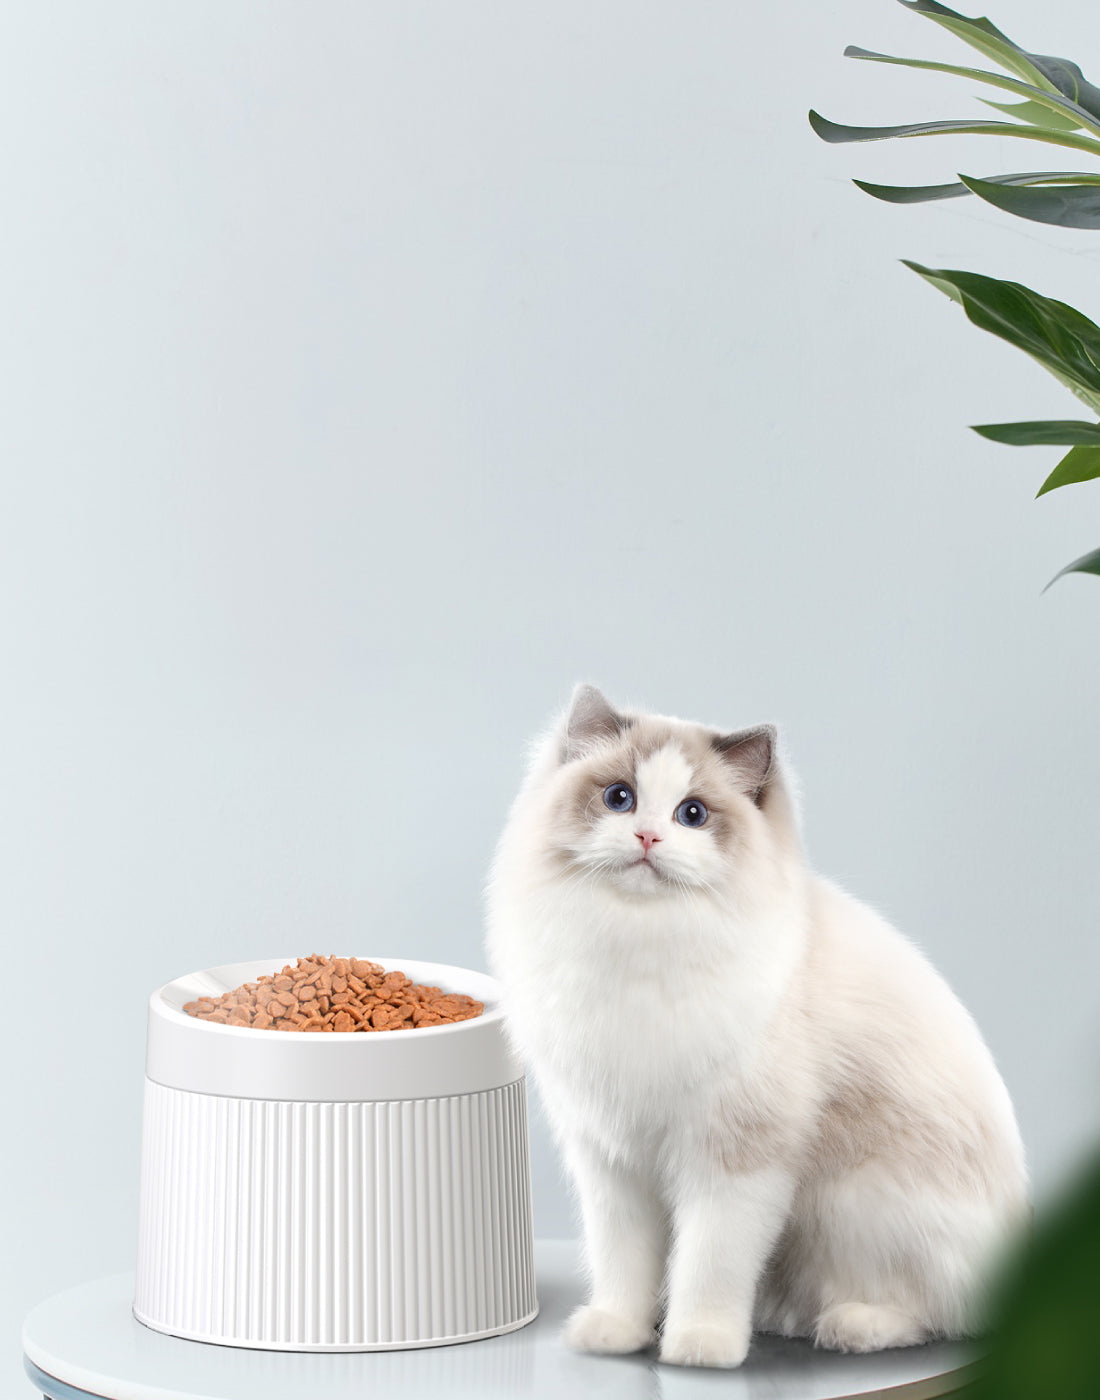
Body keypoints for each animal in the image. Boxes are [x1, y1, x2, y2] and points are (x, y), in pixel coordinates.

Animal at [484, 688, 1024, 1366]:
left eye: (692, 814)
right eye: (618, 798)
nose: (647, 836)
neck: (640, 943)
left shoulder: (734, 1158)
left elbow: (710, 1263)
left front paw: (700, 1345)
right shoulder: (613, 1158)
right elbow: (623, 1262)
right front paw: (617, 1332)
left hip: (855, 1208)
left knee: (932, 1312)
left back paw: (849, 1327)